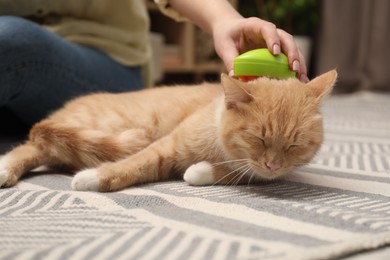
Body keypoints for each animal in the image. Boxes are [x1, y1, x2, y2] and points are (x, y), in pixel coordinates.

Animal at [0, 70, 336, 191]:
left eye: (294, 145)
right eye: (258, 138)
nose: (273, 164)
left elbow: (234, 174)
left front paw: (199, 171)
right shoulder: (166, 146)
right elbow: (133, 164)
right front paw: (94, 177)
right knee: (31, 145)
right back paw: (5, 169)